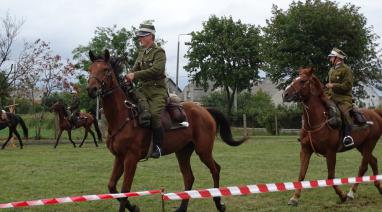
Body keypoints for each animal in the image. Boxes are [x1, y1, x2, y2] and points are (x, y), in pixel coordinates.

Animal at [87, 50, 248, 212]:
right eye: (90, 69)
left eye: (106, 70)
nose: (91, 89)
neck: (124, 116)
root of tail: (204, 110)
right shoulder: (119, 158)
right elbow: (112, 187)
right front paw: (134, 208)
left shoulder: (131, 159)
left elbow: (125, 190)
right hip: (183, 151)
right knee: (189, 177)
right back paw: (182, 208)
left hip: (203, 150)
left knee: (215, 169)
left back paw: (218, 203)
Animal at [282, 67, 382, 205]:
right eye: (294, 79)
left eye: (302, 81)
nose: (285, 94)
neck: (316, 122)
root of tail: (375, 113)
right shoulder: (305, 150)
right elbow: (301, 174)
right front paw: (295, 197)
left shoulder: (330, 152)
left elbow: (330, 177)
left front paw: (342, 196)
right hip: (361, 146)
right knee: (373, 161)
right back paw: (378, 187)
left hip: (369, 144)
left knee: (363, 167)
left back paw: (351, 193)